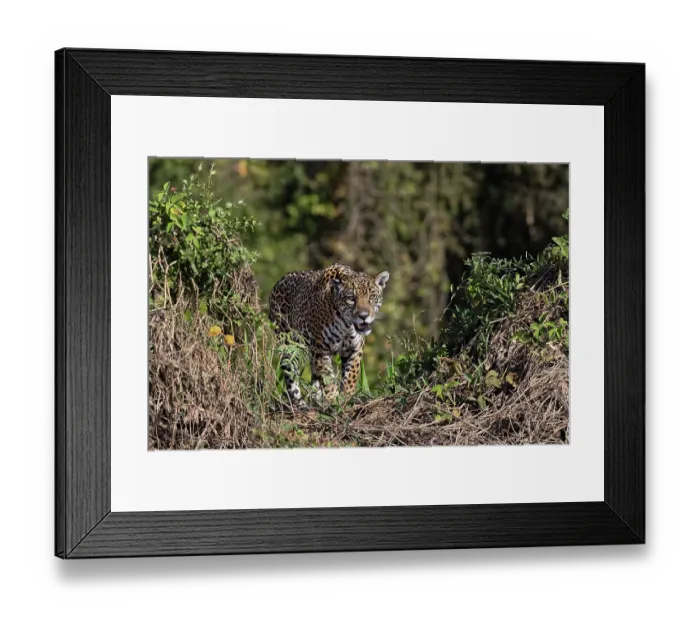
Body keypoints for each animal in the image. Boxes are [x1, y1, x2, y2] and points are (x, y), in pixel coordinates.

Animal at [269, 263, 390, 406]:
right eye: (351, 299)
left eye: (372, 296)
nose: (364, 316)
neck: (346, 325)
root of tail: (278, 282)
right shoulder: (321, 349)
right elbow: (327, 377)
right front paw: (333, 399)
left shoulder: (355, 348)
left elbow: (351, 375)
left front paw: (347, 396)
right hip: (289, 346)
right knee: (290, 374)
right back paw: (299, 402)